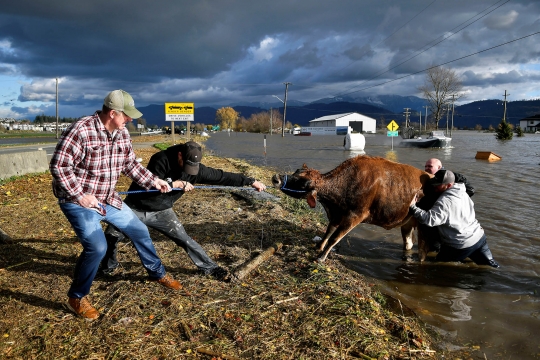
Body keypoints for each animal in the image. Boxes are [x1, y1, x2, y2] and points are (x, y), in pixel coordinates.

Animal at [272, 155, 432, 262]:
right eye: (296, 171)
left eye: (303, 183)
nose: (276, 178)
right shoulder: (337, 214)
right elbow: (328, 232)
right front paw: (319, 247)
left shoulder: (355, 216)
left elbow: (334, 237)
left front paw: (321, 257)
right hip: (407, 223)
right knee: (408, 243)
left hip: (425, 229)